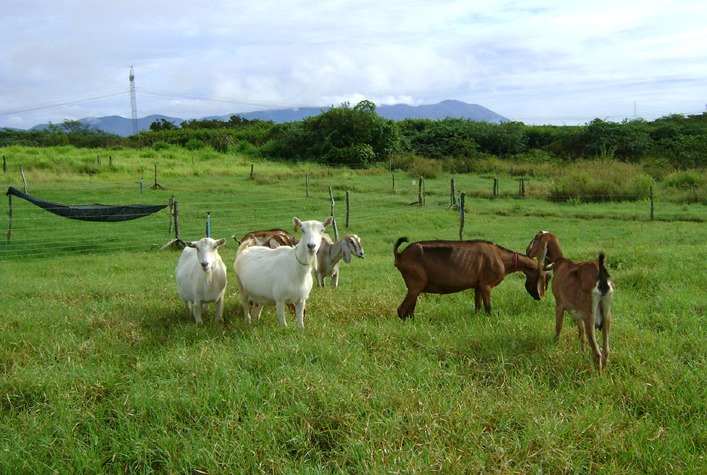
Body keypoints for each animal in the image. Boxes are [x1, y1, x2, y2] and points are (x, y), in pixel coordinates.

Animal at [392, 238, 552, 320]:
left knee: (409, 309)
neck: (501, 257)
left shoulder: (478, 286)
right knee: (401, 310)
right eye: (548, 277)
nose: (540, 297)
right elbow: (488, 309)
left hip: (416, 287)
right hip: (416, 284)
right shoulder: (487, 285)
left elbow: (477, 306)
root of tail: (400, 255)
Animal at [524, 232, 612, 370]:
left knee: (597, 353)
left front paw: (554, 344)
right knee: (606, 351)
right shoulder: (577, 311)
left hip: (590, 316)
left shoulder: (560, 304)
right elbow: (581, 332)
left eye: (536, 237)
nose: (527, 251)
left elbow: (558, 326)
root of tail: (601, 277)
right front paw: (582, 352)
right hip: (606, 314)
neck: (559, 263)